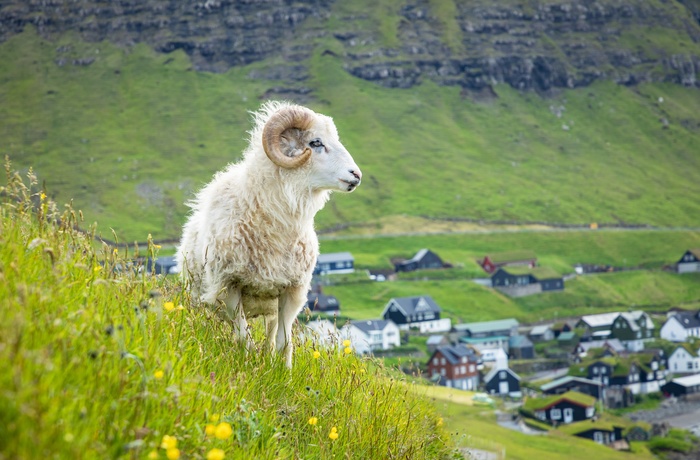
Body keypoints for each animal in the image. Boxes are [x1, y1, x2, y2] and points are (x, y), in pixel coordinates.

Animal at [176, 100, 360, 366]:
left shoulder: (292, 291)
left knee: (270, 338)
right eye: (315, 142)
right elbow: (244, 338)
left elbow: (284, 343)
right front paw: (249, 366)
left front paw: (283, 372)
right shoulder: (228, 286)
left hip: (270, 306)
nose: (356, 175)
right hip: (200, 296)